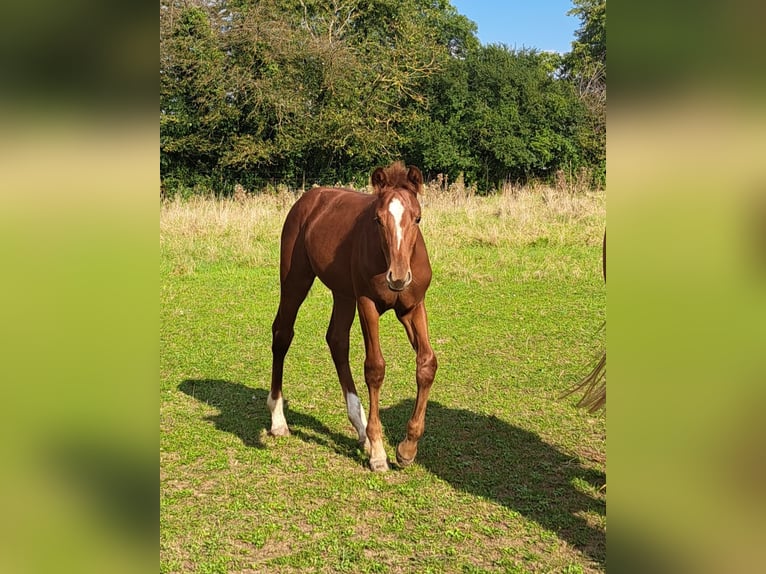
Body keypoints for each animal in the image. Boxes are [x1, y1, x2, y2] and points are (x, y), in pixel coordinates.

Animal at [268, 162, 438, 472]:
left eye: (417, 218)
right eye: (377, 220)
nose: (397, 278)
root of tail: (309, 199)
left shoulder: (413, 307)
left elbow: (427, 364)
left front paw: (407, 449)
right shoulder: (367, 304)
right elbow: (375, 368)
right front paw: (379, 453)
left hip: (343, 293)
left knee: (337, 340)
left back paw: (360, 429)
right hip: (296, 279)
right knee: (282, 333)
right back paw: (278, 420)